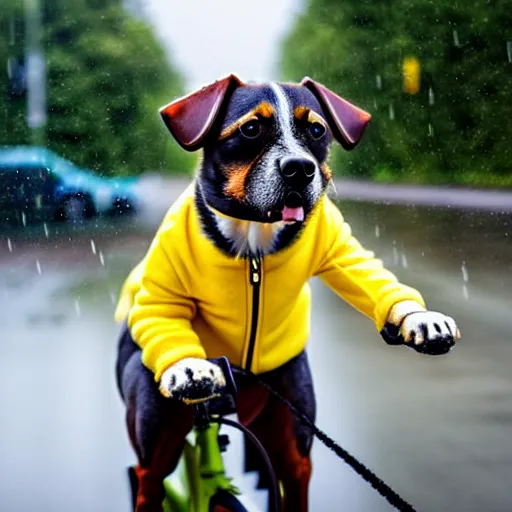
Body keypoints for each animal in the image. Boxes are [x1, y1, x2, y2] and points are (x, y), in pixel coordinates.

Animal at [115, 74, 460, 510]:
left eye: (317, 130)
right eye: (250, 128)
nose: (300, 168)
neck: (253, 240)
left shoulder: (338, 246)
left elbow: (369, 275)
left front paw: (419, 318)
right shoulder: (165, 278)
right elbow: (158, 311)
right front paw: (187, 365)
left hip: (288, 433)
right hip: (156, 449)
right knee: (148, 480)